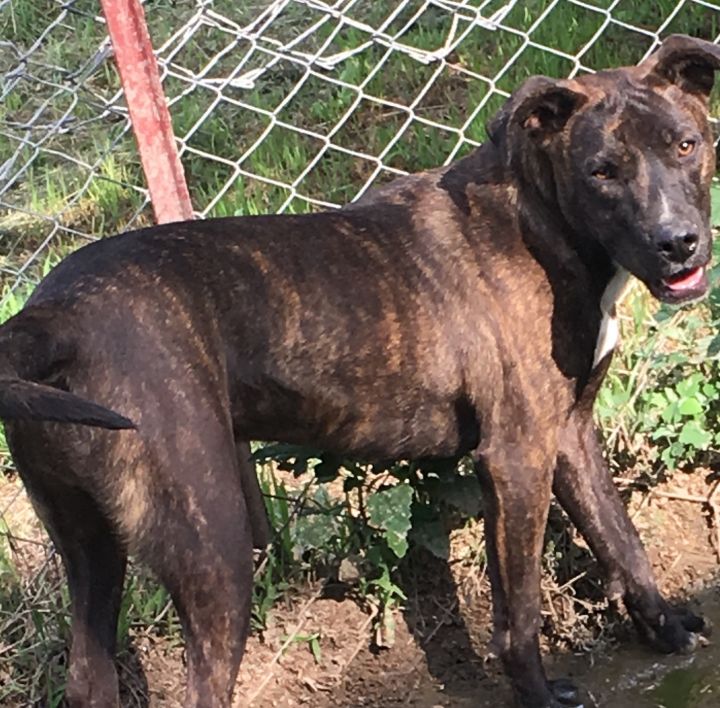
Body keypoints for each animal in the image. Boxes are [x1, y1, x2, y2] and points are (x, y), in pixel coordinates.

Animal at [0, 31, 716, 708]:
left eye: (686, 144)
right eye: (602, 171)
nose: (678, 242)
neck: (543, 219)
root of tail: (54, 317)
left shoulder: (570, 432)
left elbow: (620, 536)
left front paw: (666, 628)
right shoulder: (517, 457)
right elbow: (520, 609)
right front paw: (537, 694)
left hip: (89, 544)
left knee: (89, 677)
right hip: (214, 545)